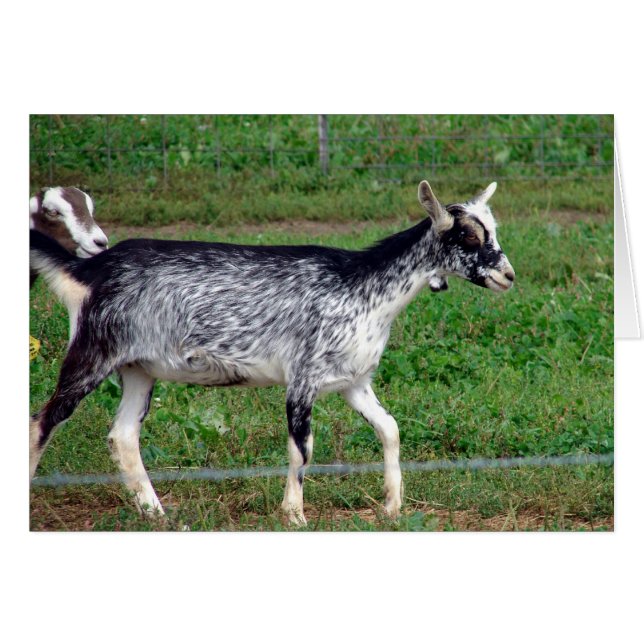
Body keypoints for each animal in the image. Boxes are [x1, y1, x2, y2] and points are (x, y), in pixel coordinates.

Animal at [29, 180, 515, 525]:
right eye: (469, 237)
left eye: (491, 231)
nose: (508, 275)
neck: (363, 287)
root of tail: (89, 270)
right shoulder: (302, 378)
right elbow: (303, 448)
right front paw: (295, 515)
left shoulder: (354, 382)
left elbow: (390, 429)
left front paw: (392, 506)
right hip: (93, 352)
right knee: (44, 420)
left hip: (138, 370)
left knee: (123, 435)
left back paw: (156, 513)